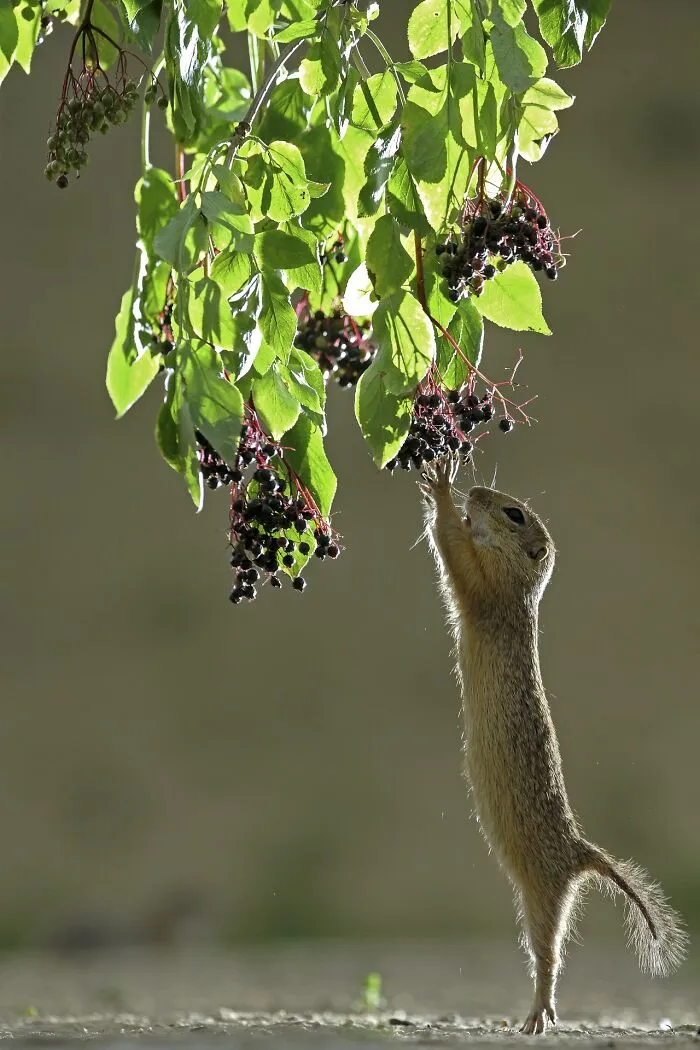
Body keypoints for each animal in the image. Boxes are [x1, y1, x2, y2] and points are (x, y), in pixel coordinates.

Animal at [419, 456, 687, 1034]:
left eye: (513, 513)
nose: (477, 491)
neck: (524, 589)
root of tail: (581, 852)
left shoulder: (483, 585)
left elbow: (451, 545)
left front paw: (442, 488)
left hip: (542, 897)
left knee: (549, 956)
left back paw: (539, 1014)